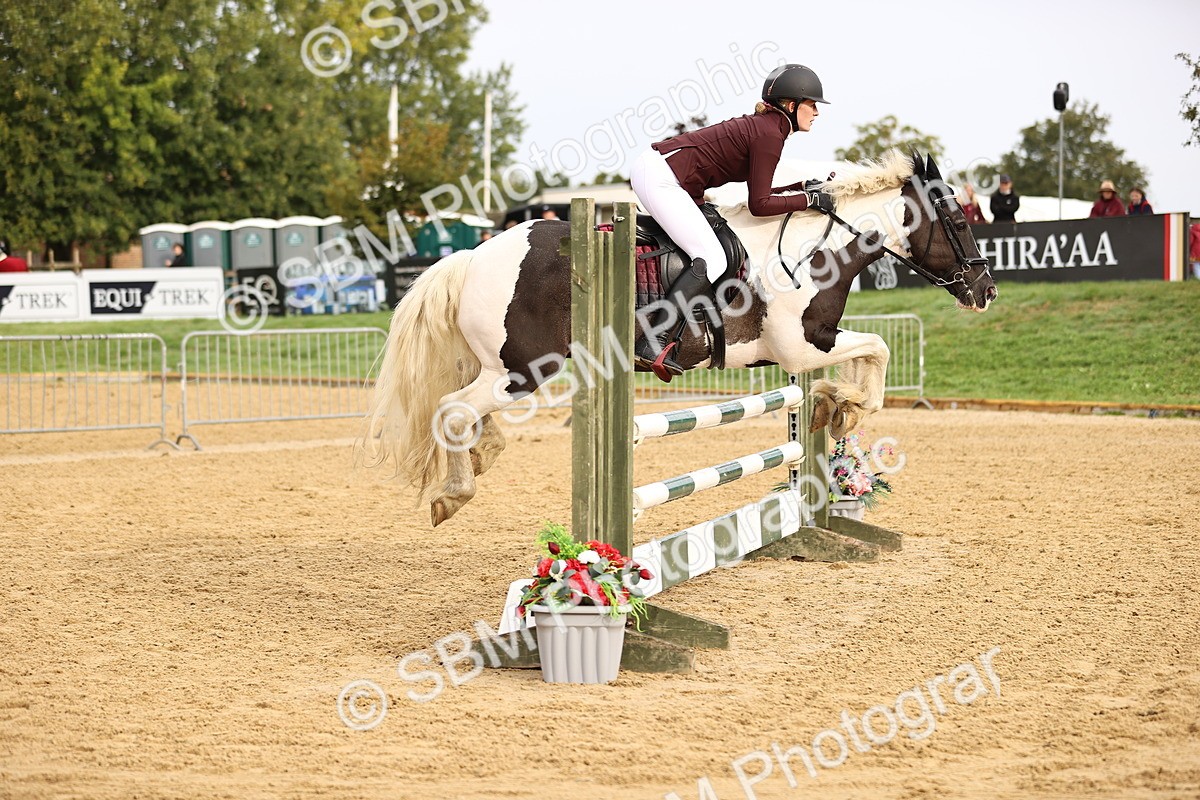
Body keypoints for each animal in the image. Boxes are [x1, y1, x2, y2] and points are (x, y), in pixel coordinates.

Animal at [362, 149, 996, 526]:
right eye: (958, 220)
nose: (986, 290)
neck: (816, 246)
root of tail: (473, 255)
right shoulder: (800, 344)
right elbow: (878, 353)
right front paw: (836, 408)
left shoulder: (812, 342)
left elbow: (870, 361)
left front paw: (831, 409)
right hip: (523, 370)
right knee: (452, 409)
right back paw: (453, 494)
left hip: (503, 368)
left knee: (466, 414)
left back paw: (481, 454)